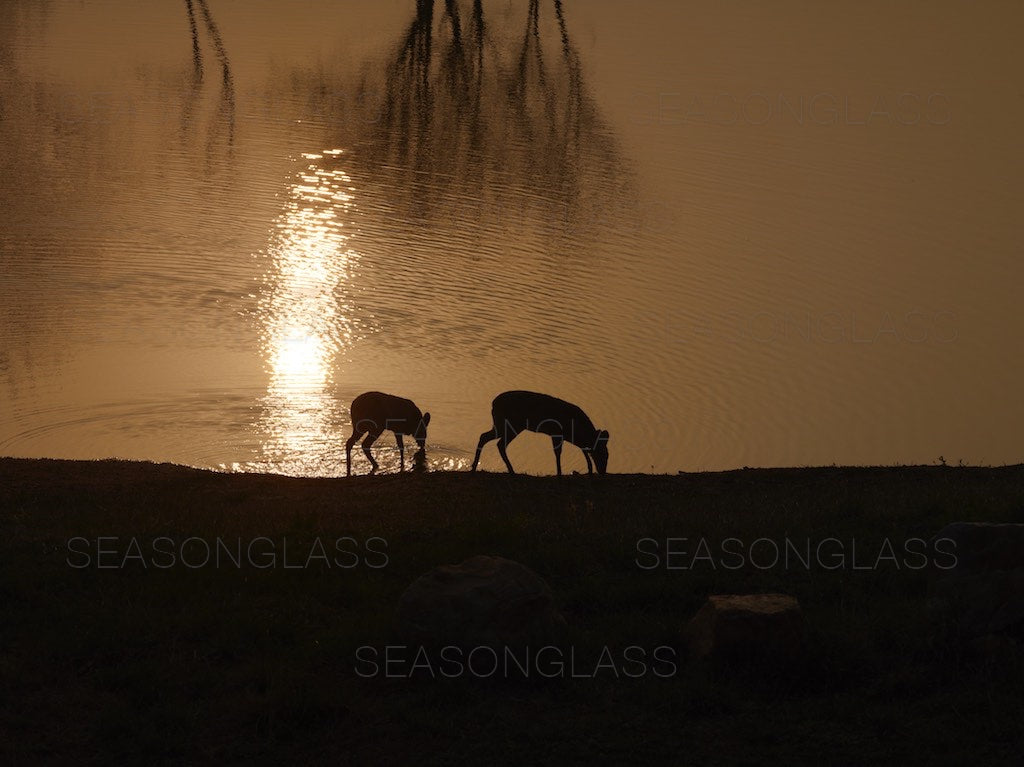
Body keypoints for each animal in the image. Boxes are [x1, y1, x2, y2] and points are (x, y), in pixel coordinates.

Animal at [471, 391, 606, 475]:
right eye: (603, 454)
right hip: (510, 425)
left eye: (606, 454)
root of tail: (493, 404)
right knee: (497, 442)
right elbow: (558, 453)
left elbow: (581, 448)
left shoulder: (564, 436)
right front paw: (559, 473)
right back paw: (510, 470)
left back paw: (475, 467)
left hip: (504, 425)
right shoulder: (557, 432)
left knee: (486, 437)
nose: (603, 472)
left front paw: (589, 469)